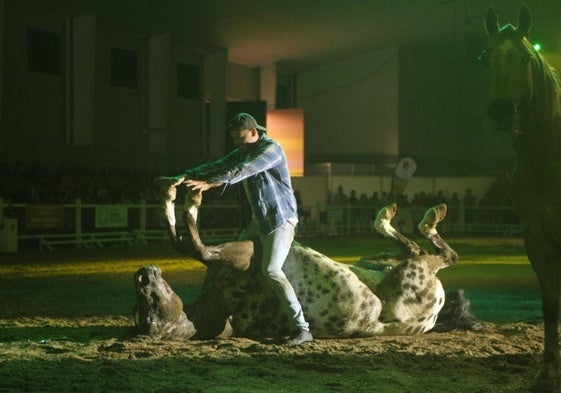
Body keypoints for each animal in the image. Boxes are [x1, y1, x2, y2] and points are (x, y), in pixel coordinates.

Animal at [133, 188, 480, 340]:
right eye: (147, 309)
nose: (143, 276)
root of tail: (429, 320)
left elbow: (185, 243)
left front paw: (174, 196)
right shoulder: (250, 251)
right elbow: (197, 248)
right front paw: (189, 199)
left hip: (378, 262)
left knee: (413, 247)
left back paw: (391, 214)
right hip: (414, 271)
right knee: (439, 254)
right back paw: (423, 217)